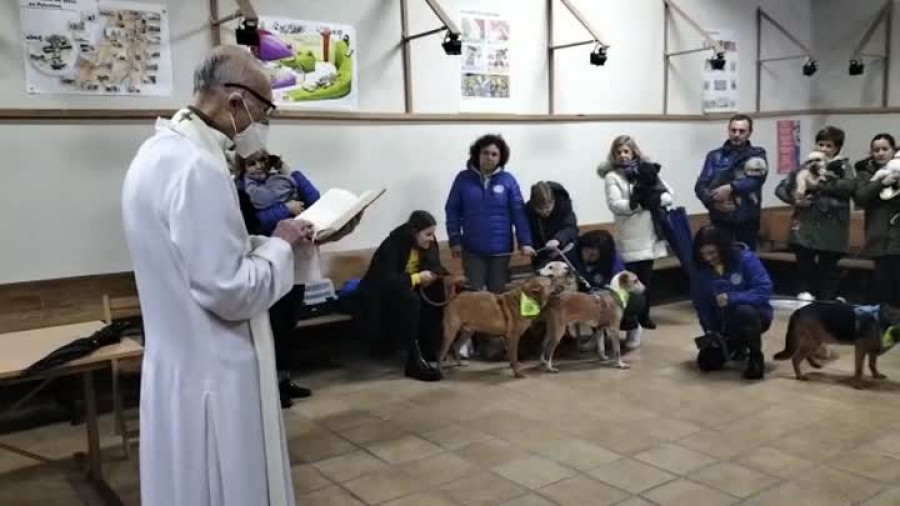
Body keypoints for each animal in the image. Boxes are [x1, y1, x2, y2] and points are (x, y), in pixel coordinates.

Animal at [772, 302, 900, 390]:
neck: (883, 320)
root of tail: (799, 310)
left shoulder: (872, 349)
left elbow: (872, 364)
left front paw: (876, 375)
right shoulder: (861, 348)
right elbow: (859, 370)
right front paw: (858, 384)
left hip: (814, 341)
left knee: (804, 355)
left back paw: (814, 364)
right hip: (814, 341)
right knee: (796, 358)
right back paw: (800, 375)